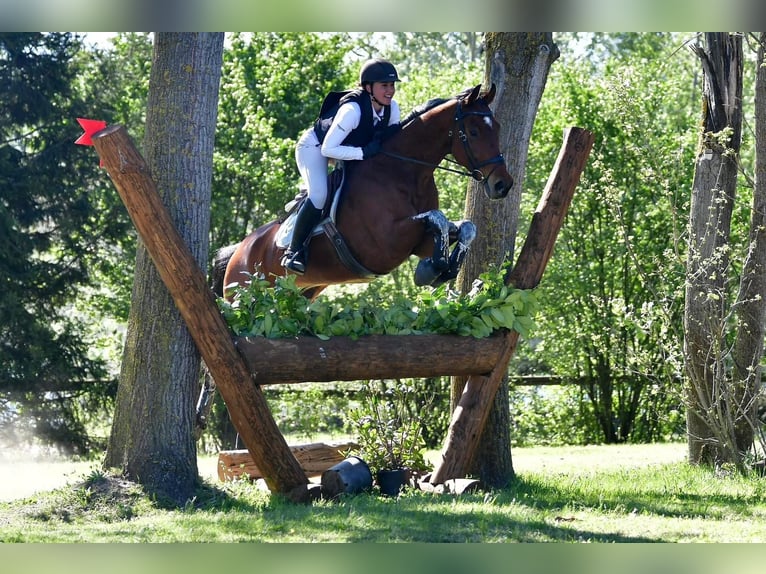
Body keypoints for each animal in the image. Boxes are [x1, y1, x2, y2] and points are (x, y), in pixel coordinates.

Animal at [213, 85, 512, 304]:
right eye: (473, 132)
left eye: (498, 128)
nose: (503, 185)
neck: (405, 172)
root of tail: (239, 250)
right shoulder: (386, 244)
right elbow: (436, 217)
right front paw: (434, 268)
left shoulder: (417, 242)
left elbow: (464, 227)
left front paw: (442, 268)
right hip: (243, 295)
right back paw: (293, 258)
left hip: (302, 293)